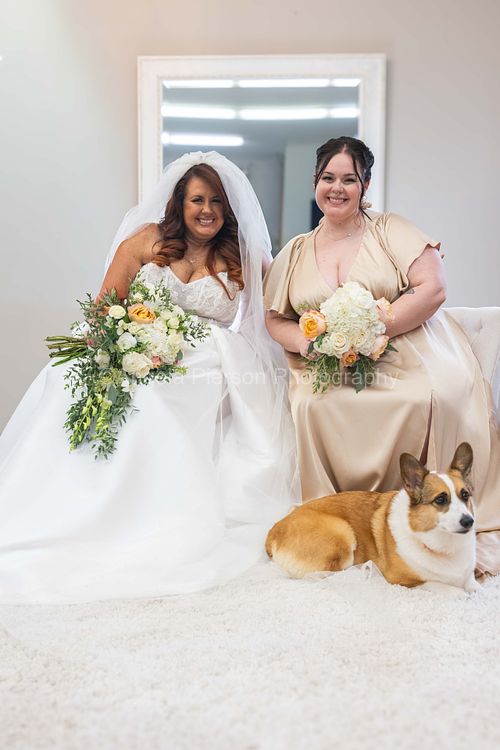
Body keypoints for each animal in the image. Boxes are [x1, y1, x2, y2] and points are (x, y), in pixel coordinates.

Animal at [266, 443, 479, 594]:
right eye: (441, 499)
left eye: (465, 495)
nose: (469, 521)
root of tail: (273, 532)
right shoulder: (402, 580)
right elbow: (441, 586)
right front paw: (458, 592)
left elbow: (473, 585)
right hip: (342, 535)